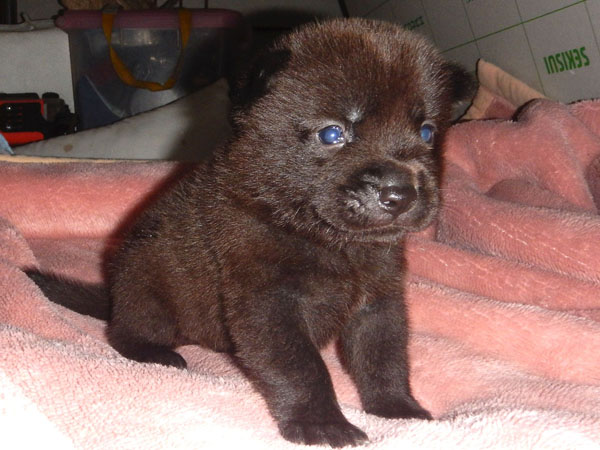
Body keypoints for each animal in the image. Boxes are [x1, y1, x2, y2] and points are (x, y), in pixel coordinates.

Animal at [28, 18, 475, 447]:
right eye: (332, 133)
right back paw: (155, 354)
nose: (400, 193)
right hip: (149, 299)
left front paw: (398, 409)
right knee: (122, 331)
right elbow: (303, 367)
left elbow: (383, 359)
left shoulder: (378, 302)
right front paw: (321, 425)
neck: (329, 240)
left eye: (427, 132)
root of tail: (115, 293)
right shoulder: (268, 304)